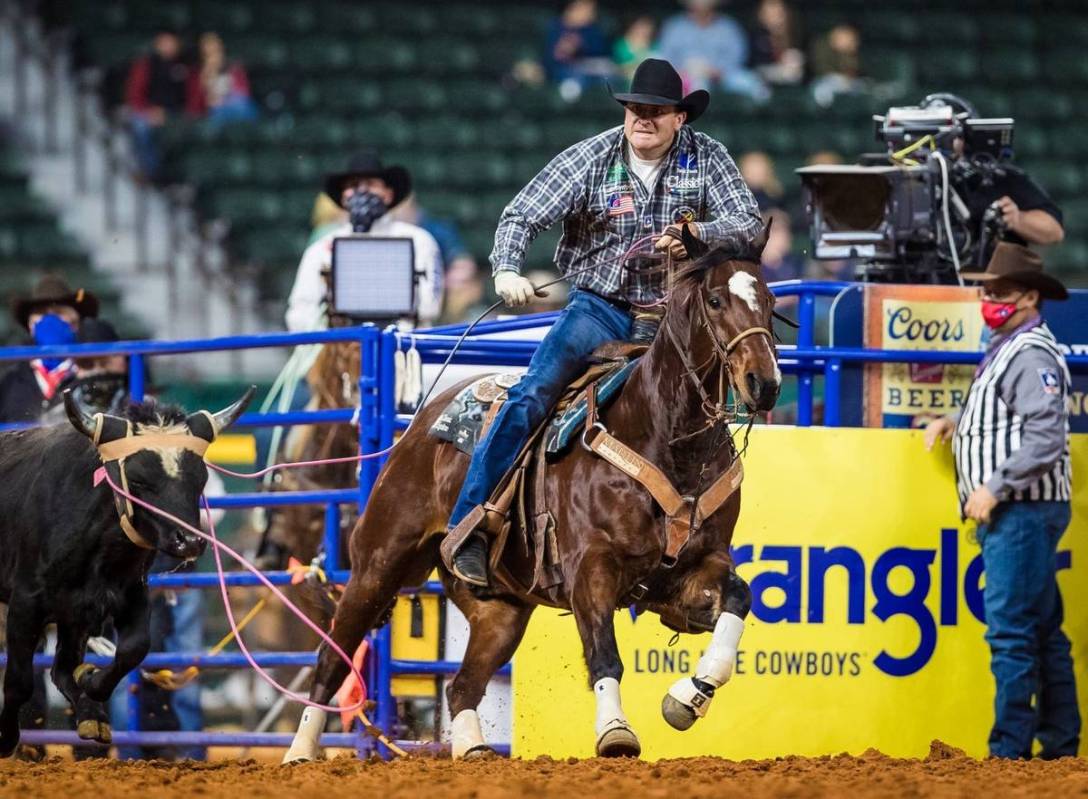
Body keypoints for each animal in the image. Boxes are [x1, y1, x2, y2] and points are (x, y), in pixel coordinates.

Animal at [280, 228, 779, 766]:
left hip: (502, 611)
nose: (765, 384)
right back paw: (300, 752)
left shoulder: (691, 571)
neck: (664, 437)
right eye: (716, 299)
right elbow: (605, 654)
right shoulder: (591, 569)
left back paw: (473, 748)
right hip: (378, 564)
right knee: (332, 655)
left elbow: (739, 599)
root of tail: (420, 421)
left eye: (770, 301)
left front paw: (689, 697)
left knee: (462, 684)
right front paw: (616, 731)